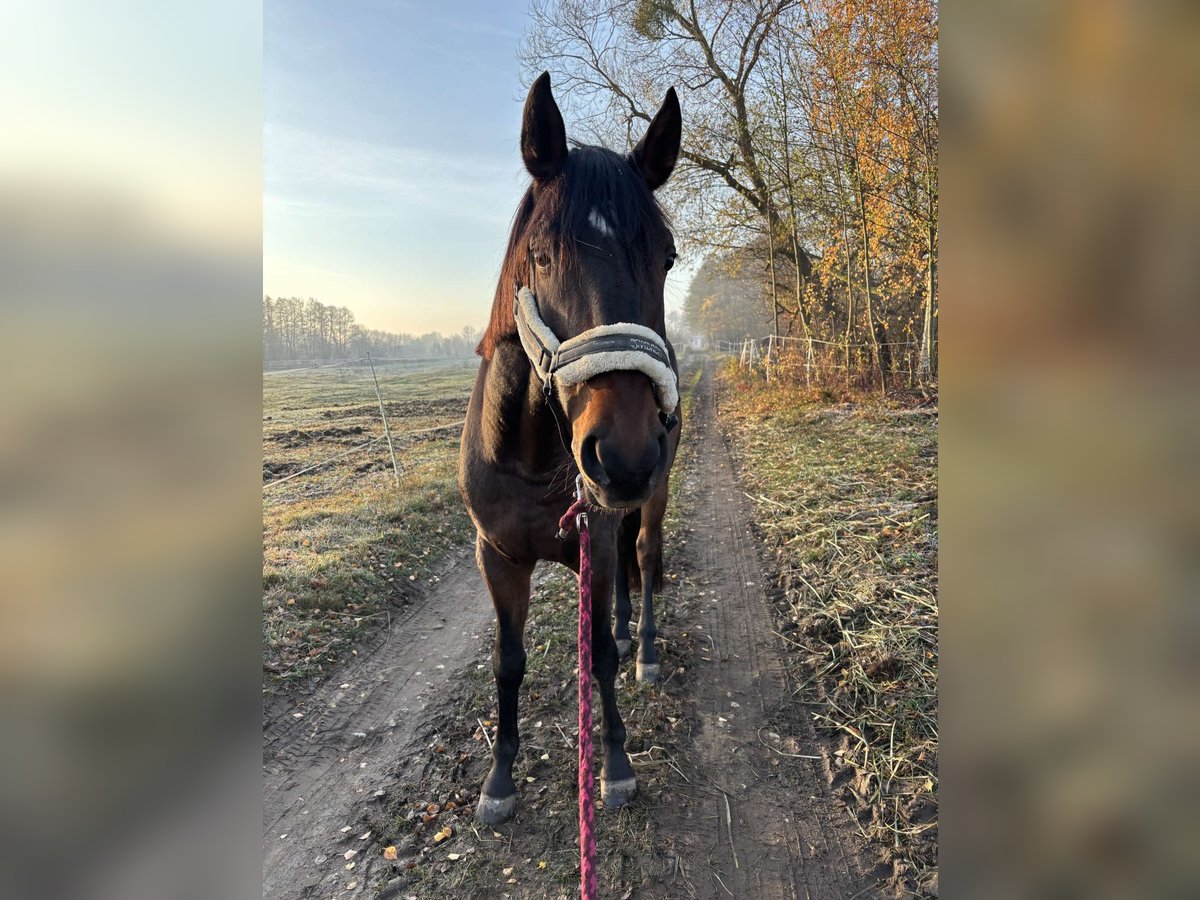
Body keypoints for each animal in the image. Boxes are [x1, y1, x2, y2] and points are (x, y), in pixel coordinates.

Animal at [458, 71, 683, 825]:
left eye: (666, 257)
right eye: (543, 254)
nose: (626, 453)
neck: (527, 458)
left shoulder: (600, 535)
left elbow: (599, 659)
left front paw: (614, 765)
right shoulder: (497, 557)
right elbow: (509, 662)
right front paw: (499, 777)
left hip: (648, 503)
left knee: (645, 554)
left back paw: (643, 647)